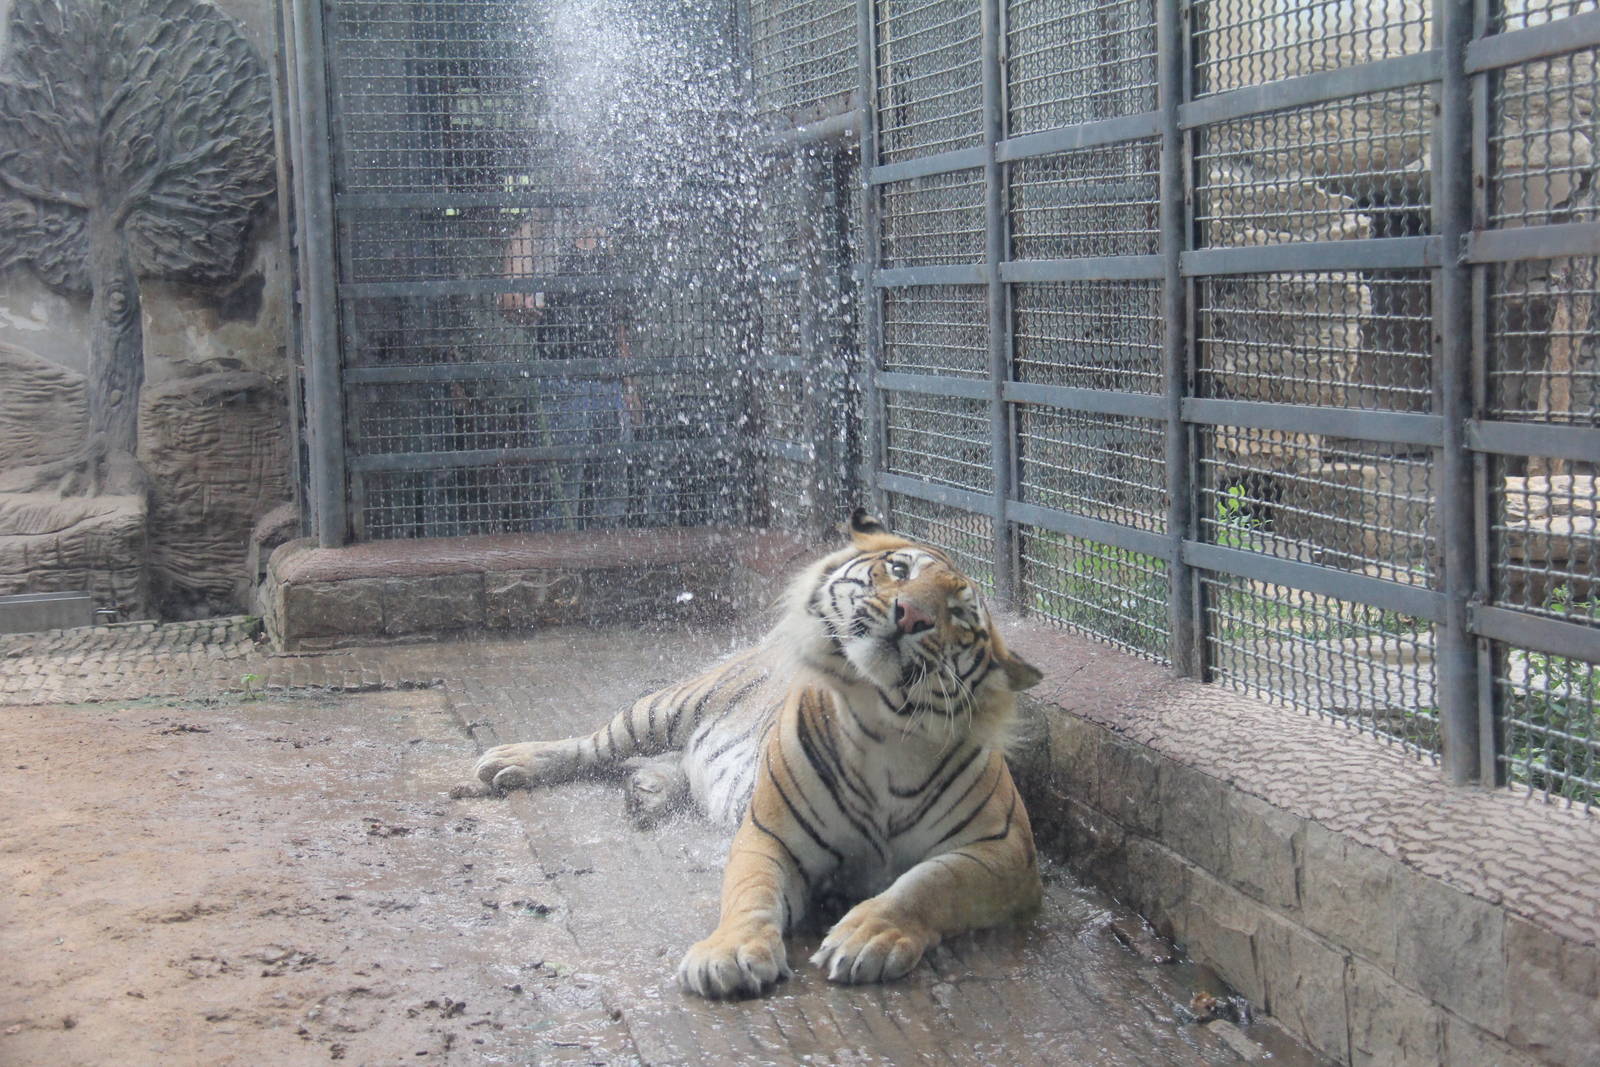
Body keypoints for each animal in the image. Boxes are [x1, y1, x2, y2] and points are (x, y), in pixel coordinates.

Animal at [463, 508, 1045, 997]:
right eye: (899, 569)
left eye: (958, 616)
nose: (909, 615)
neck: (881, 728)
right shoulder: (769, 836)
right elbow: (750, 894)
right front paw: (730, 954)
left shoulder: (1003, 851)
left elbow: (925, 886)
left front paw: (869, 937)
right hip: (663, 707)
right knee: (595, 744)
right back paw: (512, 762)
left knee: (681, 761)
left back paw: (648, 792)